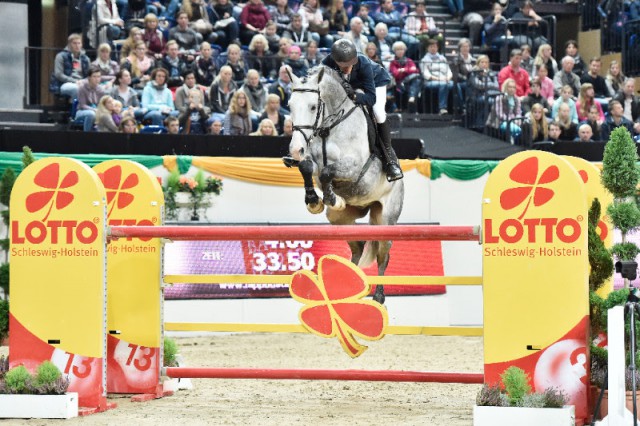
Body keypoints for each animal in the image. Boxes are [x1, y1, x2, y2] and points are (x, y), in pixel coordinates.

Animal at [286, 65, 404, 304]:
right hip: (340, 219)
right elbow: (307, 167)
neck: (327, 127)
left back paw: (378, 297)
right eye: (290, 106)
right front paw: (314, 201)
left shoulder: (355, 167)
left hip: (386, 218)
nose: (295, 149)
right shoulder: (312, 161)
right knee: (357, 247)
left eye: (313, 106)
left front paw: (330, 197)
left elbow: (327, 172)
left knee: (383, 255)